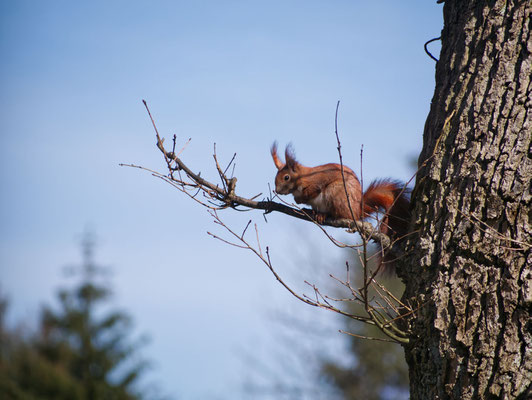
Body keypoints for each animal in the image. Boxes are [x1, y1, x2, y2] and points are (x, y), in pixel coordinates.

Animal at [272, 143, 410, 244]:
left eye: (286, 177)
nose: (277, 191)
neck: (302, 178)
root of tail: (357, 211)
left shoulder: (317, 182)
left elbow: (312, 192)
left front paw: (299, 199)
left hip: (336, 193)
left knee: (341, 214)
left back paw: (324, 214)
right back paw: (312, 211)